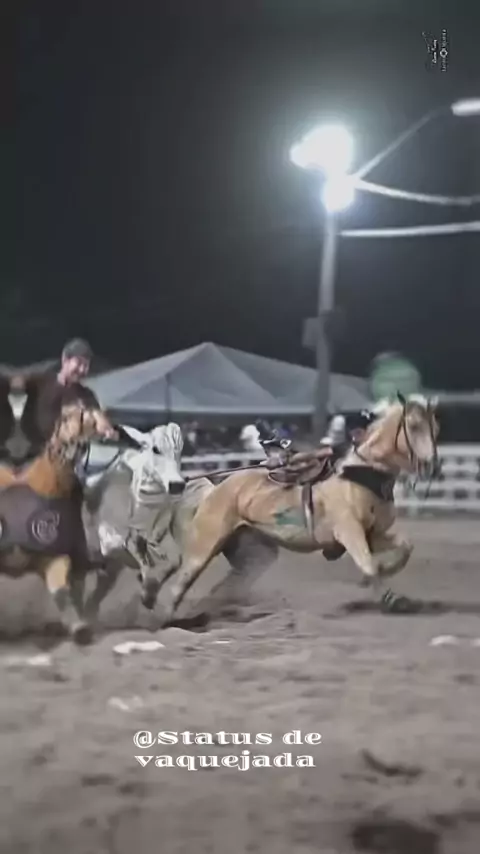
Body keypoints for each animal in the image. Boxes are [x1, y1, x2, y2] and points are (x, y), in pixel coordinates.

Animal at [149, 394, 439, 624]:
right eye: (414, 426)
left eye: (435, 428)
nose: (433, 466)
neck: (359, 474)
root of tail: (213, 490)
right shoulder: (349, 531)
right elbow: (368, 564)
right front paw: (390, 597)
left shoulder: (375, 532)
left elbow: (404, 548)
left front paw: (387, 571)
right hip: (203, 548)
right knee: (180, 584)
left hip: (254, 551)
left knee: (230, 583)